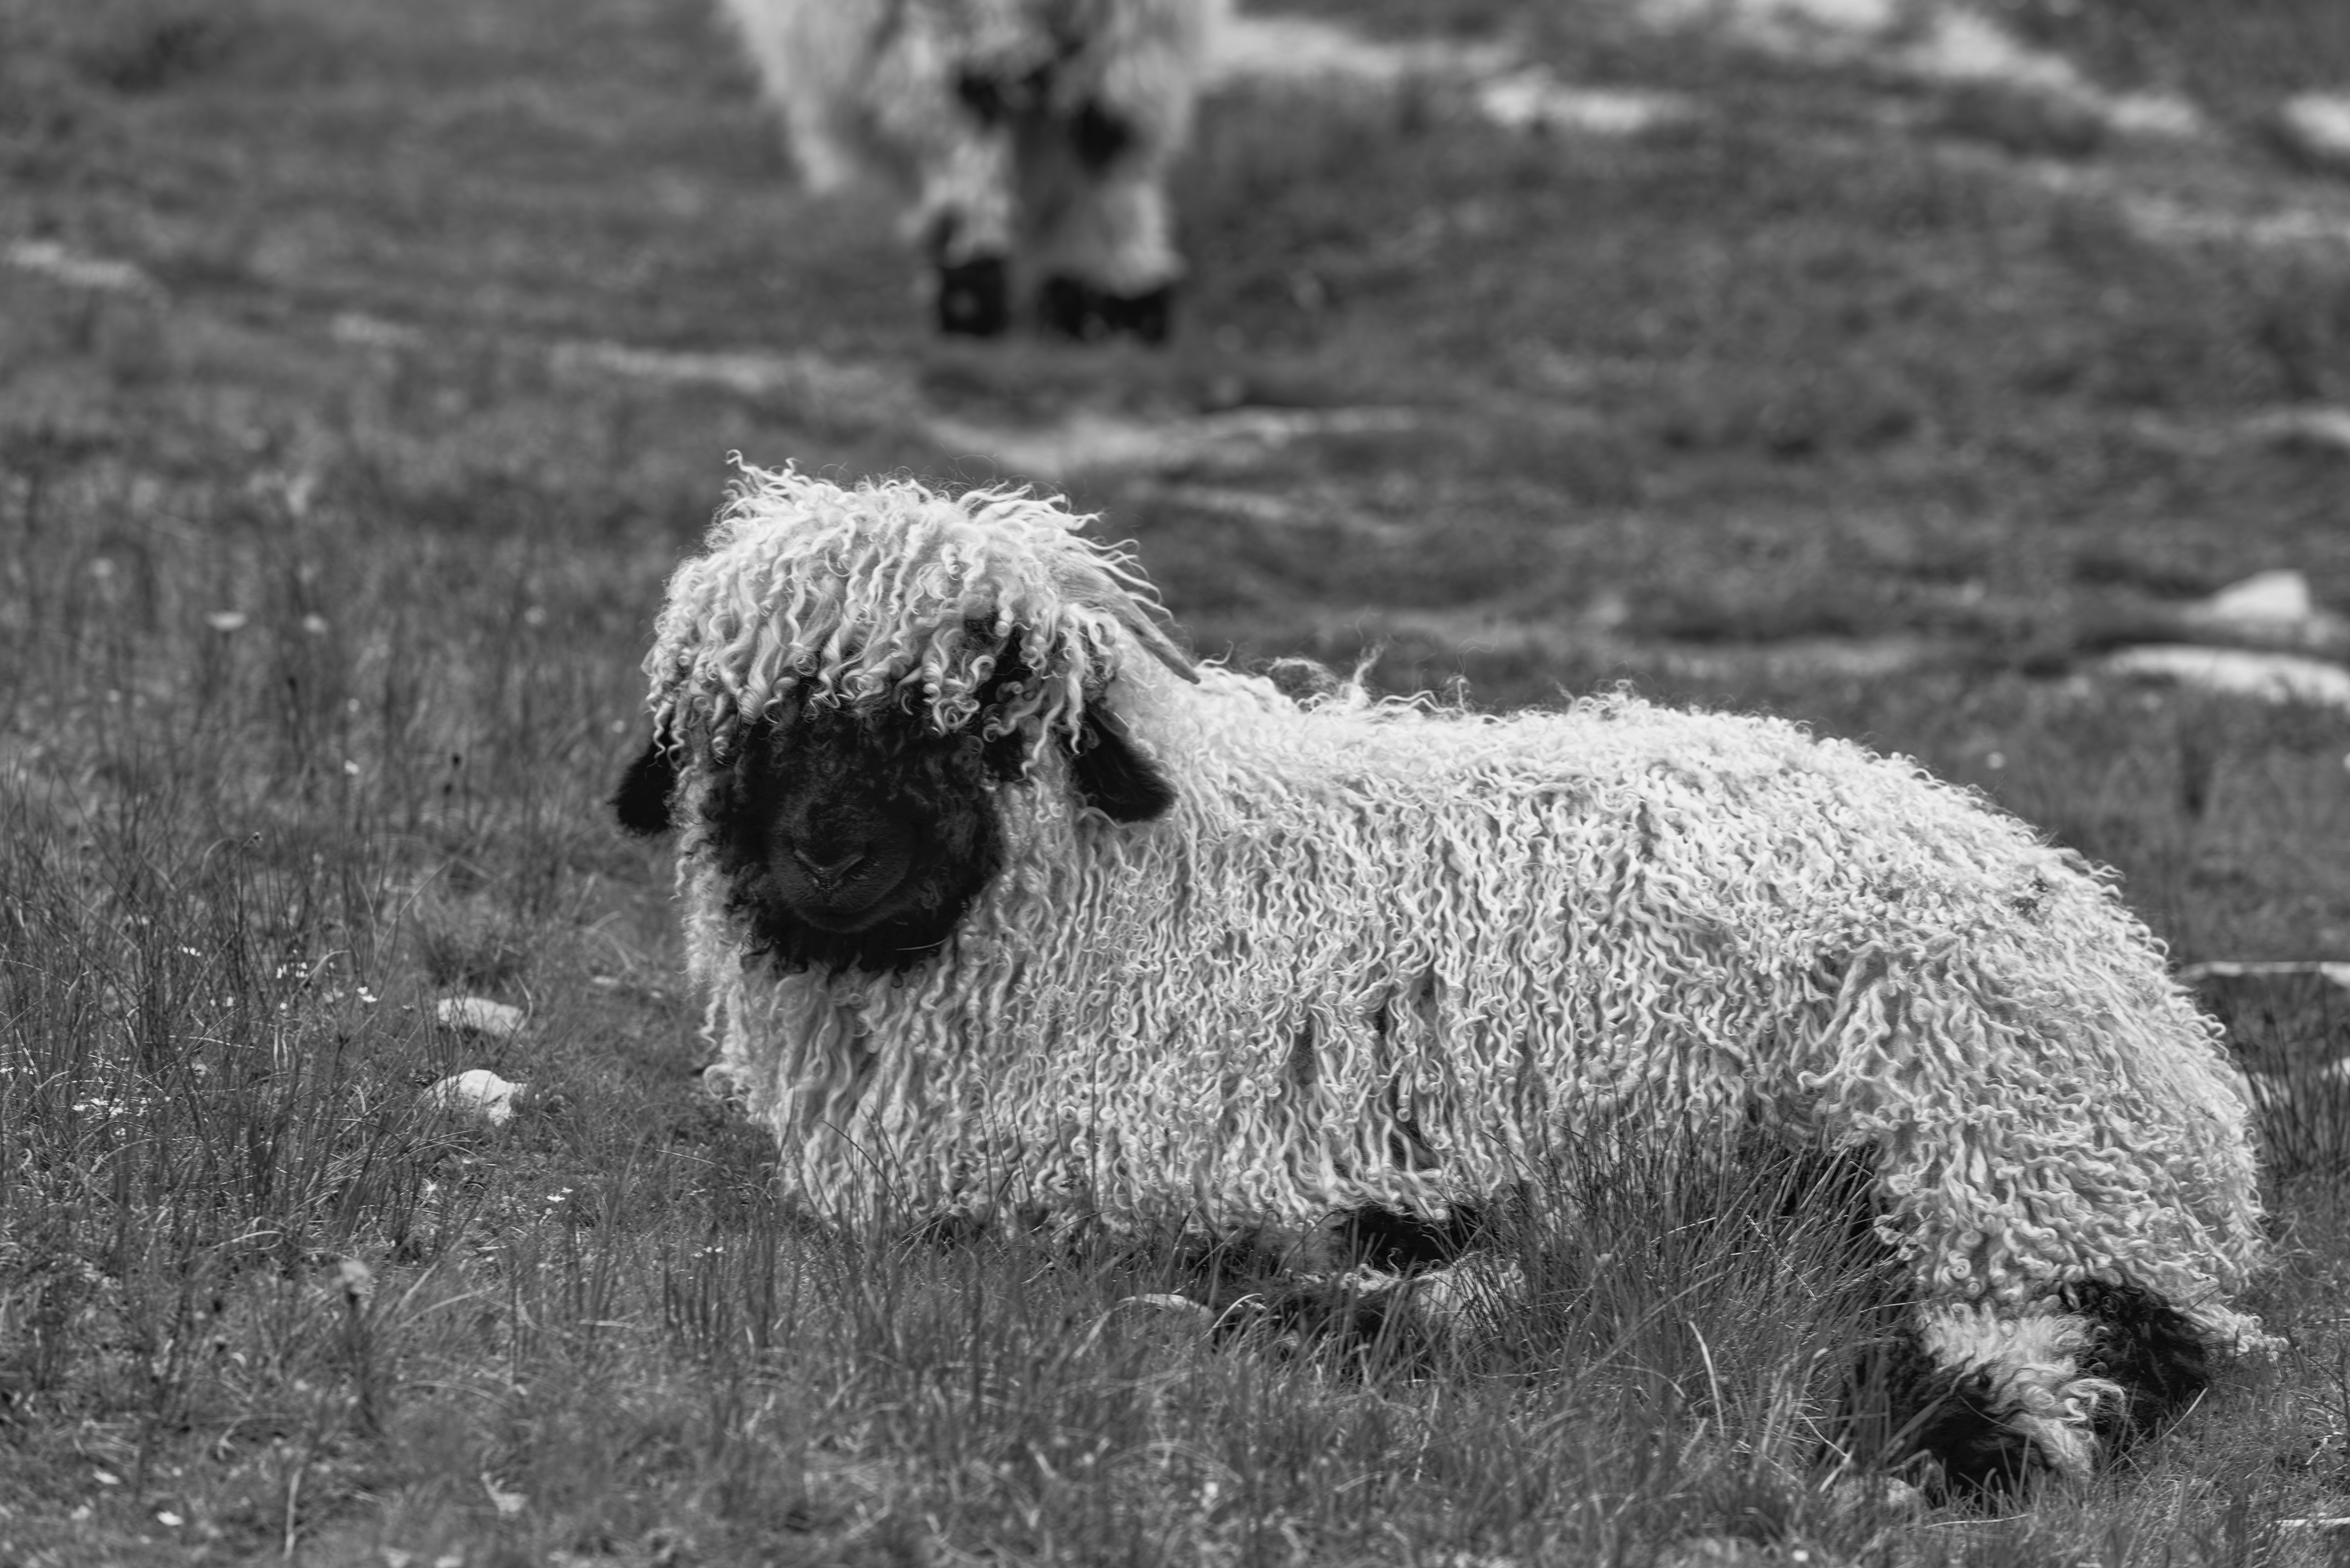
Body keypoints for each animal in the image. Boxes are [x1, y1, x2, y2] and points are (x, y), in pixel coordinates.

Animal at [616, 462, 2269, 1498]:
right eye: (738, 720)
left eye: (983, 710)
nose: (828, 858)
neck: (1118, 895)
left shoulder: (1144, 1166)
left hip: (1976, 1151)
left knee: (2102, 1339)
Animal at [718, 0, 1226, 341]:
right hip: (1134, 45)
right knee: (1111, 159)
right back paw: (1116, 304)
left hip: (923, 39)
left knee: (963, 157)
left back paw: (968, 299)